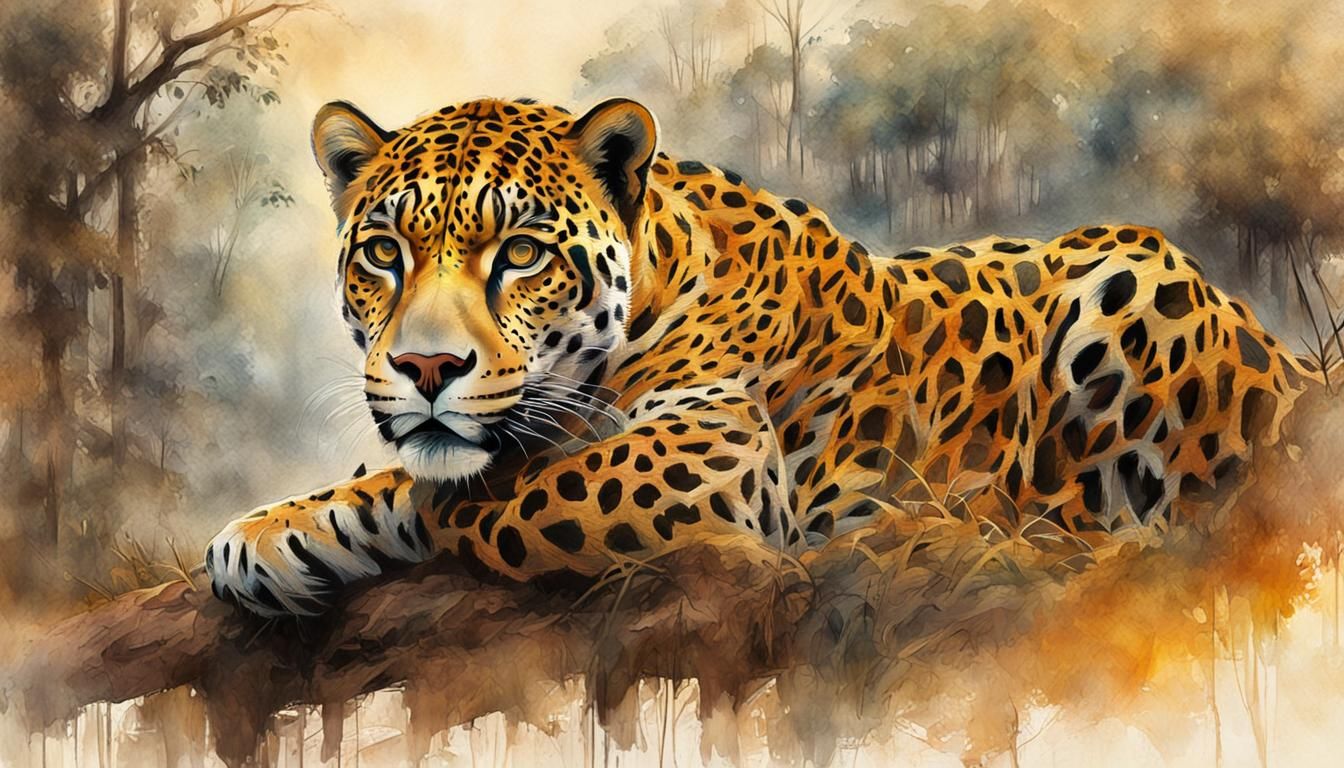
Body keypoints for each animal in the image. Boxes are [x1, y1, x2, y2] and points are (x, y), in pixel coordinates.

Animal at [205, 96, 1320, 616]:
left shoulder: (715, 458)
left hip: (1128, 279)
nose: (426, 370)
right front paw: (272, 531)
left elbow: (481, 492)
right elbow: (421, 467)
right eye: (384, 253)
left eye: (519, 253)